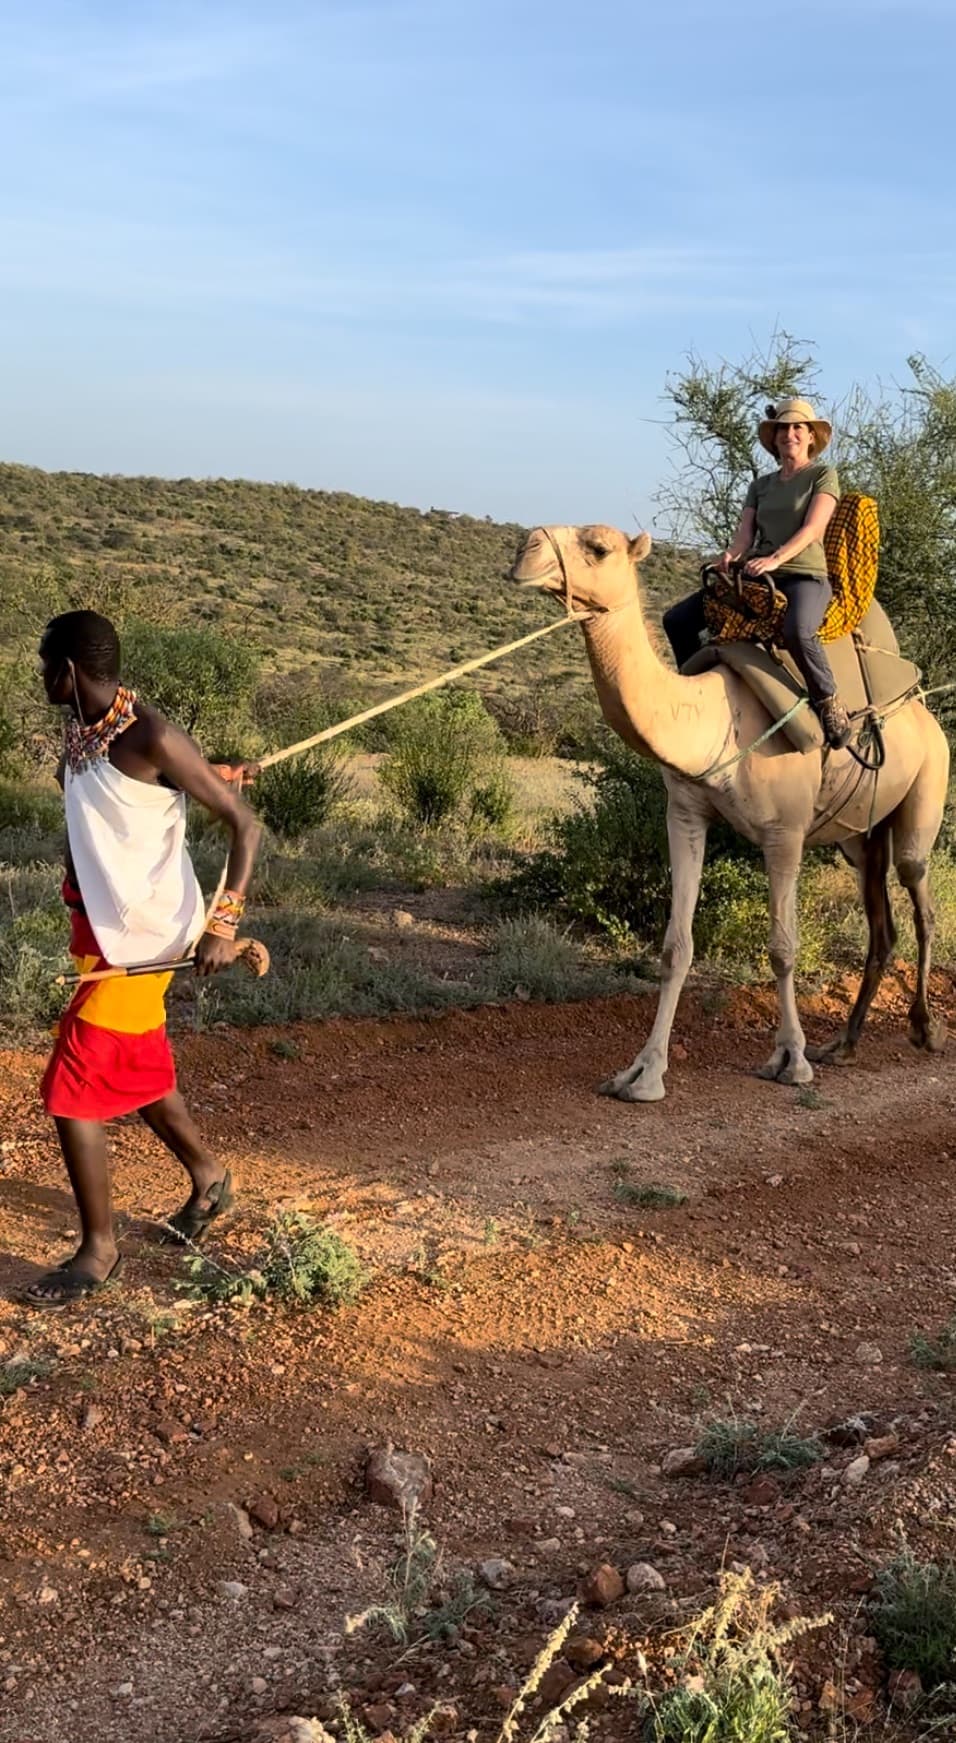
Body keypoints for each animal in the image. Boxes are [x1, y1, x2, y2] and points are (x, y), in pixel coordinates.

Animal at [510, 524, 950, 1100]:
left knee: (921, 897)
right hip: (860, 838)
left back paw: (924, 1030)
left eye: (599, 547)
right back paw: (844, 1044)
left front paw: (790, 1060)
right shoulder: (685, 814)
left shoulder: (785, 832)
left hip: (928, 786)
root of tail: (925, 710)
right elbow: (675, 947)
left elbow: (783, 948)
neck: (717, 721)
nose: (525, 552)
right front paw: (643, 1073)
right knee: (882, 922)